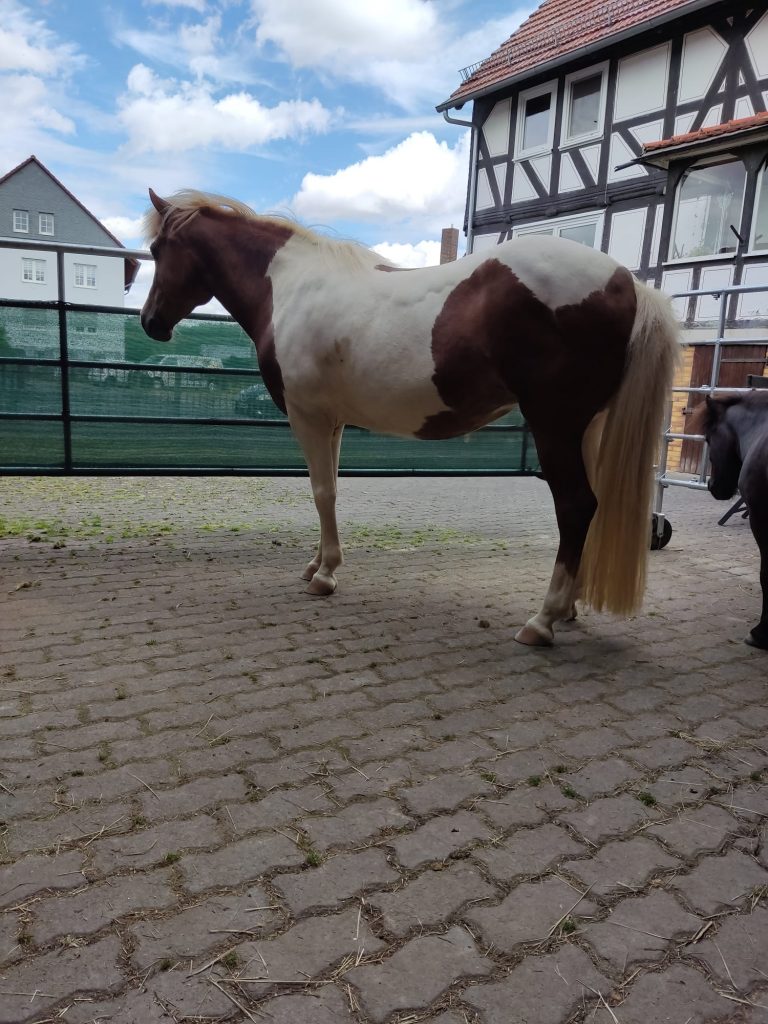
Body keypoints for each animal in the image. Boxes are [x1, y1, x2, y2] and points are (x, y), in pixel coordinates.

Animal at [140, 188, 679, 647]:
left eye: (157, 249)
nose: (150, 323)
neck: (290, 286)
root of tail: (627, 282)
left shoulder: (307, 415)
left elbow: (321, 491)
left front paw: (325, 576)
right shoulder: (332, 420)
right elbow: (329, 491)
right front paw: (316, 563)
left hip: (555, 425)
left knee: (575, 506)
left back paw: (542, 620)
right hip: (586, 429)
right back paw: (568, 609)